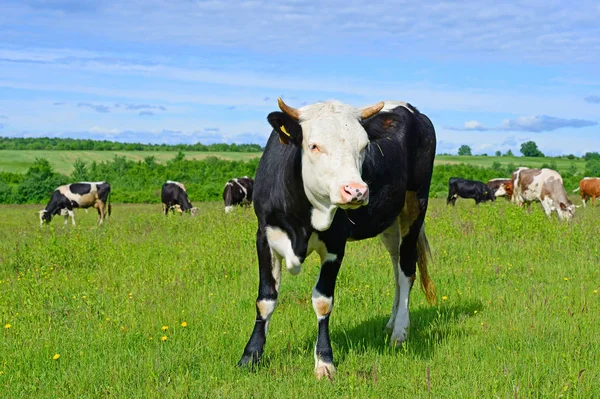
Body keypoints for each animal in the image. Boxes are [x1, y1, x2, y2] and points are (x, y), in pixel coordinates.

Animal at [237, 98, 438, 380]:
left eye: (364, 146)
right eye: (314, 146)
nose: (357, 190)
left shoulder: (335, 244)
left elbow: (323, 301)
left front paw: (324, 361)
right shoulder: (264, 236)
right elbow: (265, 299)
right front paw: (251, 356)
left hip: (415, 207)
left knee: (407, 271)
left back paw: (399, 332)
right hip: (390, 222)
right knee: (397, 267)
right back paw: (390, 323)